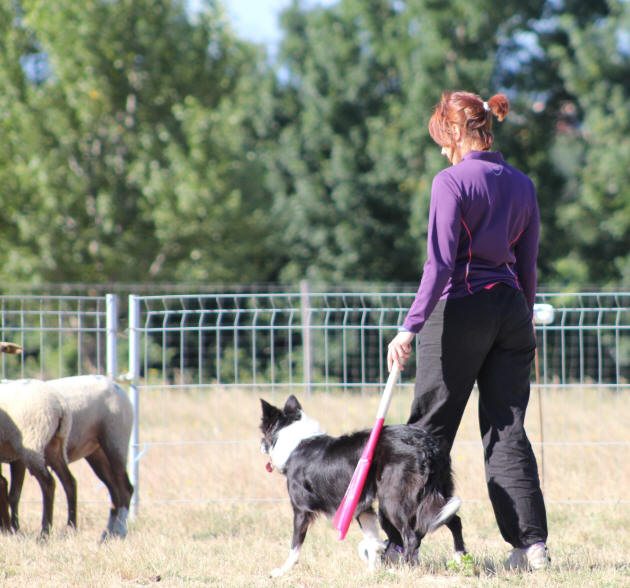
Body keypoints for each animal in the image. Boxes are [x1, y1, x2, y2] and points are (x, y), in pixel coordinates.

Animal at [0, 382, 76, 536]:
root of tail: (60, 406)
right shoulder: (15, 458)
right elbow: (12, 492)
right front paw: (12, 528)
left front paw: (8, 529)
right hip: (56, 444)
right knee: (69, 482)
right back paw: (71, 528)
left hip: (33, 441)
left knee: (48, 483)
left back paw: (44, 533)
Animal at [260, 392, 466, 576]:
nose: (260, 446)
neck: (296, 442)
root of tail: (426, 445)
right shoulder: (362, 508)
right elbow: (372, 540)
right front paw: (372, 571)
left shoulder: (301, 510)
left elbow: (295, 546)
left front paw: (282, 571)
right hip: (437, 493)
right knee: (453, 520)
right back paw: (460, 558)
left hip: (391, 501)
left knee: (412, 536)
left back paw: (400, 570)